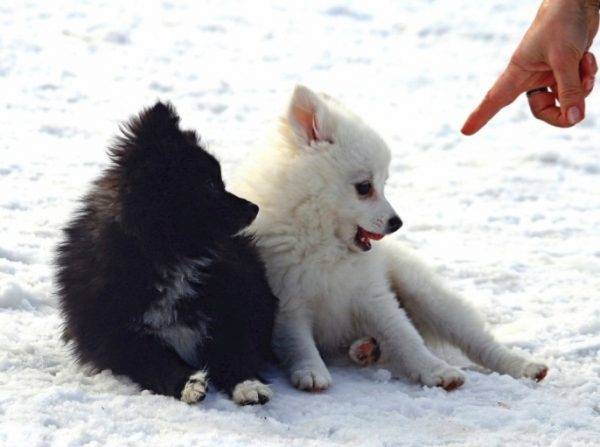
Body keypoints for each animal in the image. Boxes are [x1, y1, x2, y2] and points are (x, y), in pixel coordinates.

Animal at [56, 102, 278, 405]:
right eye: (210, 185)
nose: (254, 207)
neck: (169, 257)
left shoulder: (230, 309)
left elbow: (234, 349)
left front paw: (248, 384)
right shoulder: (118, 339)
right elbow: (156, 362)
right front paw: (189, 383)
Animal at [233, 85, 548, 392]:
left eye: (384, 183)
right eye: (364, 187)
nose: (397, 223)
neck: (326, 244)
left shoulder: (373, 295)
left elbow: (405, 336)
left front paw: (436, 371)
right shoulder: (288, 301)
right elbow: (298, 343)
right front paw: (311, 371)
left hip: (426, 294)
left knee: (477, 341)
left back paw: (523, 366)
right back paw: (364, 349)